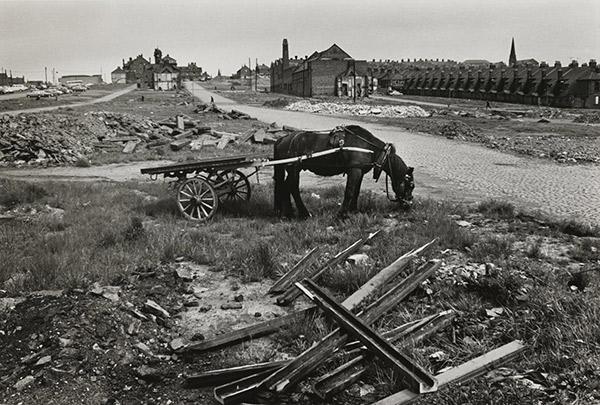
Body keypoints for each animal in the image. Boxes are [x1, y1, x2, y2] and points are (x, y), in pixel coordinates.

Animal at [274, 124, 414, 218]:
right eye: (411, 185)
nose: (409, 204)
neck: (369, 148)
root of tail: (283, 139)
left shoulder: (359, 172)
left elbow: (356, 192)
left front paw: (353, 210)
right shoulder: (354, 171)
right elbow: (349, 192)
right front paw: (341, 214)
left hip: (292, 170)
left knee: (285, 186)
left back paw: (288, 213)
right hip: (294, 168)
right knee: (293, 188)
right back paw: (304, 213)